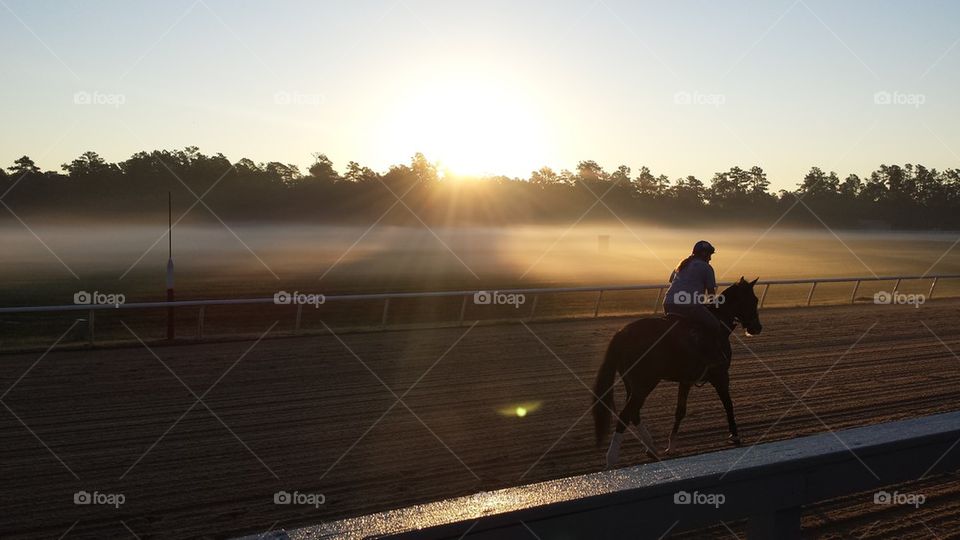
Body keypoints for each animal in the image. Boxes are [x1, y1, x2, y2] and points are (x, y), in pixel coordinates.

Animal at [588, 278, 760, 468]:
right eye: (754, 300)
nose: (757, 327)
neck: (720, 323)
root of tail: (621, 333)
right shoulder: (721, 376)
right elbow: (728, 404)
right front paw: (735, 435)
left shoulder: (686, 381)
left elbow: (680, 411)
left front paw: (671, 445)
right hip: (645, 383)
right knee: (626, 414)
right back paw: (611, 458)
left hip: (631, 383)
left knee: (634, 412)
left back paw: (651, 448)